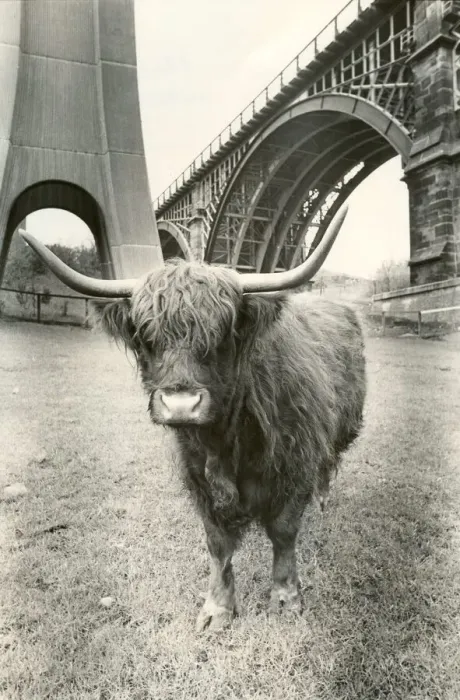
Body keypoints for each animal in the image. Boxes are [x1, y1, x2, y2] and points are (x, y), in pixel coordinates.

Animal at [21, 205, 366, 632]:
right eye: (145, 337)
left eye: (222, 334)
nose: (181, 404)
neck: (227, 439)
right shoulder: (199, 477)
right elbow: (217, 545)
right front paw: (218, 609)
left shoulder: (295, 464)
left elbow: (284, 533)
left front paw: (286, 601)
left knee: (328, 467)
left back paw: (321, 501)